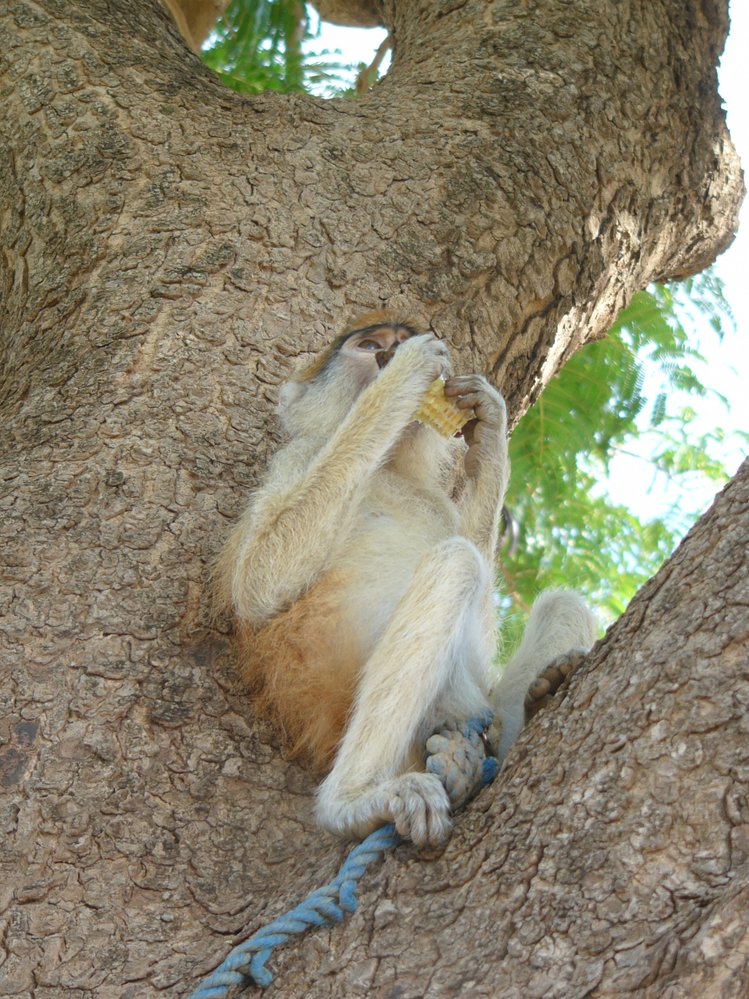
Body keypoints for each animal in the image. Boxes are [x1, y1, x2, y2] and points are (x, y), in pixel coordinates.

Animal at [216, 312, 596, 852]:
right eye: (368, 345)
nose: (385, 354)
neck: (391, 465)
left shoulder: (438, 504)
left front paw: (490, 429)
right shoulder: (298, 456)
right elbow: (260, 585)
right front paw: (405, 376)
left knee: (559, 603)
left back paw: (543, 693)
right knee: (454, 565)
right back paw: (352, 802)